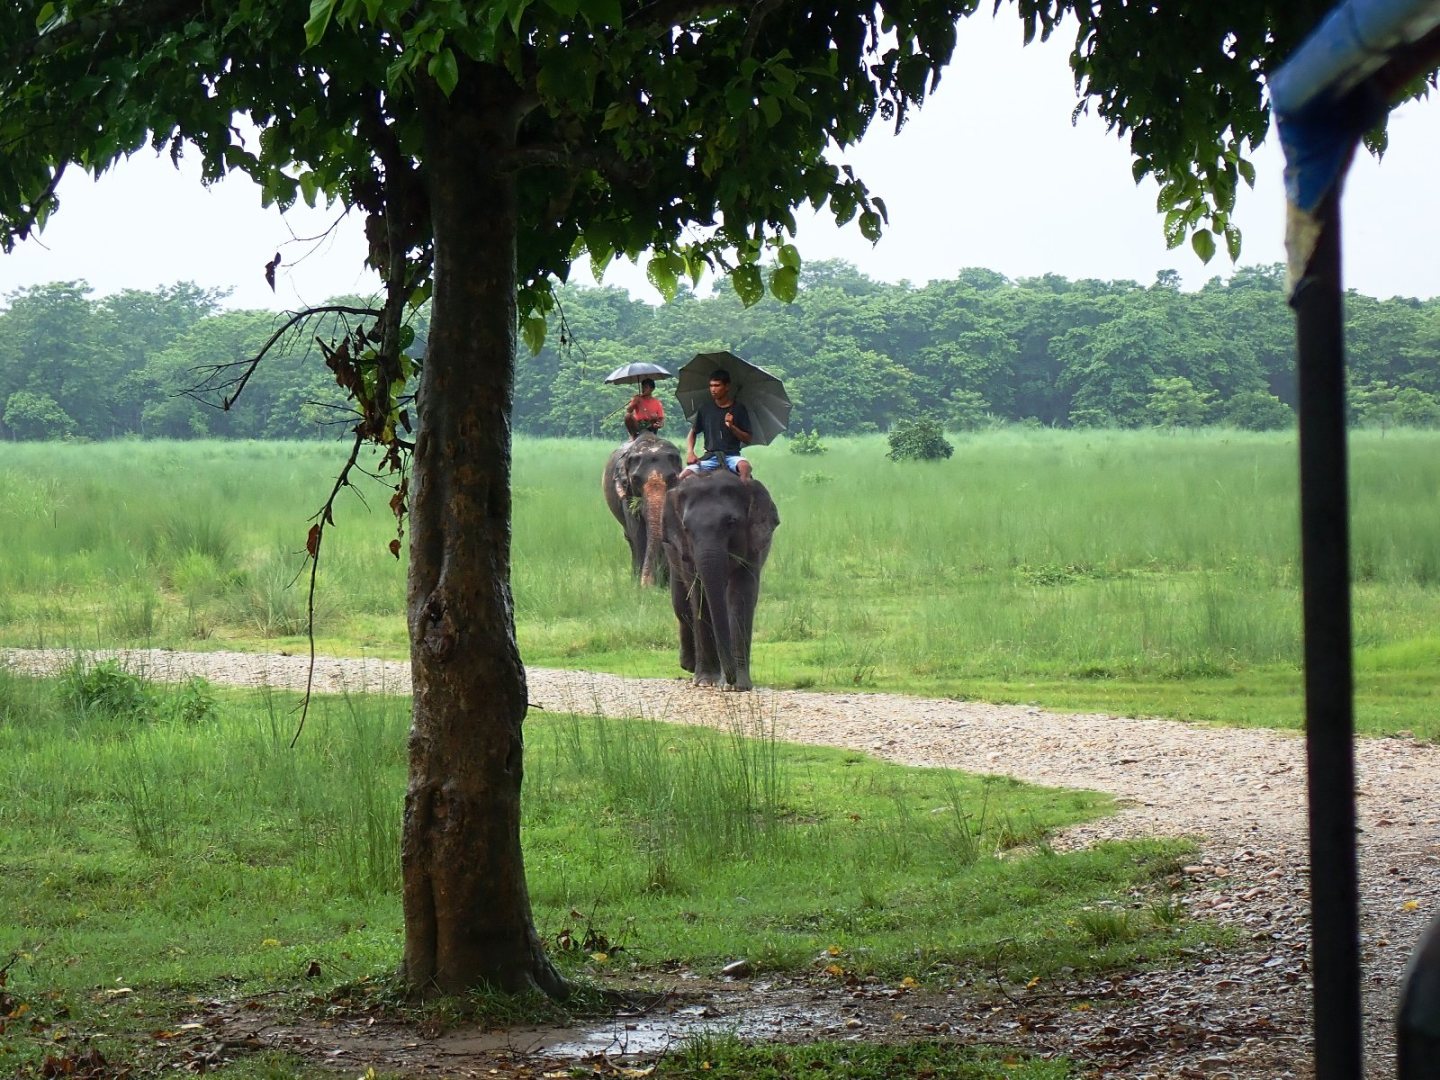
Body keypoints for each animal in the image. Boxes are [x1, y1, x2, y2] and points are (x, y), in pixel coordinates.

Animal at [599, 434, 682, 593]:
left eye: (672, 478)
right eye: (635, 479)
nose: (648, 585)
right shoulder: (626, 492)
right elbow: (638, 533)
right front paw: (641, 588)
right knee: (631, 538)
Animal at [659, 472, 777, 694]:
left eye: (731, 522)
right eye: (686, 528)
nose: (729, 678)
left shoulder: (752, 544)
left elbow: (740, 597)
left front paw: (737, 687)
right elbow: (700, 595)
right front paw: (706, 682)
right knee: (681, 606)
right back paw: (689, 665)